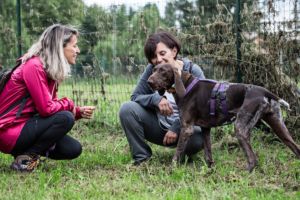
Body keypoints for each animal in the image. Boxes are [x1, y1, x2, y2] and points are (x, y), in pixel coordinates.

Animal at [147, 63, 300, 171]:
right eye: (154, 69)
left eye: (163, 71)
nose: (149, 81)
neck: (185, 85)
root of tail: (264, 91)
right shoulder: (205, 129)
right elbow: (208, 152)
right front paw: (210, 170)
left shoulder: (187, 128)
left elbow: (178, 153)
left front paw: (171, 169)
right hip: (278, 126)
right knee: (296, 148)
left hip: (240, 128)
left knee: (253, 159)